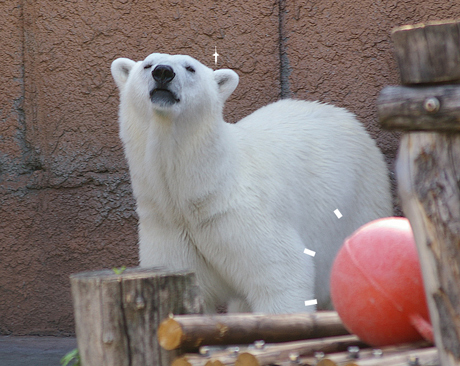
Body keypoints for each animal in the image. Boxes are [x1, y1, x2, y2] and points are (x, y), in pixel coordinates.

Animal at [112, 53, 392, 314]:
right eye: (148, 64)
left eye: (190, 68)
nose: (163, 73)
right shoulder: (167, 229)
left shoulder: (241, 216)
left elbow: (282, 277)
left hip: (361, 200)